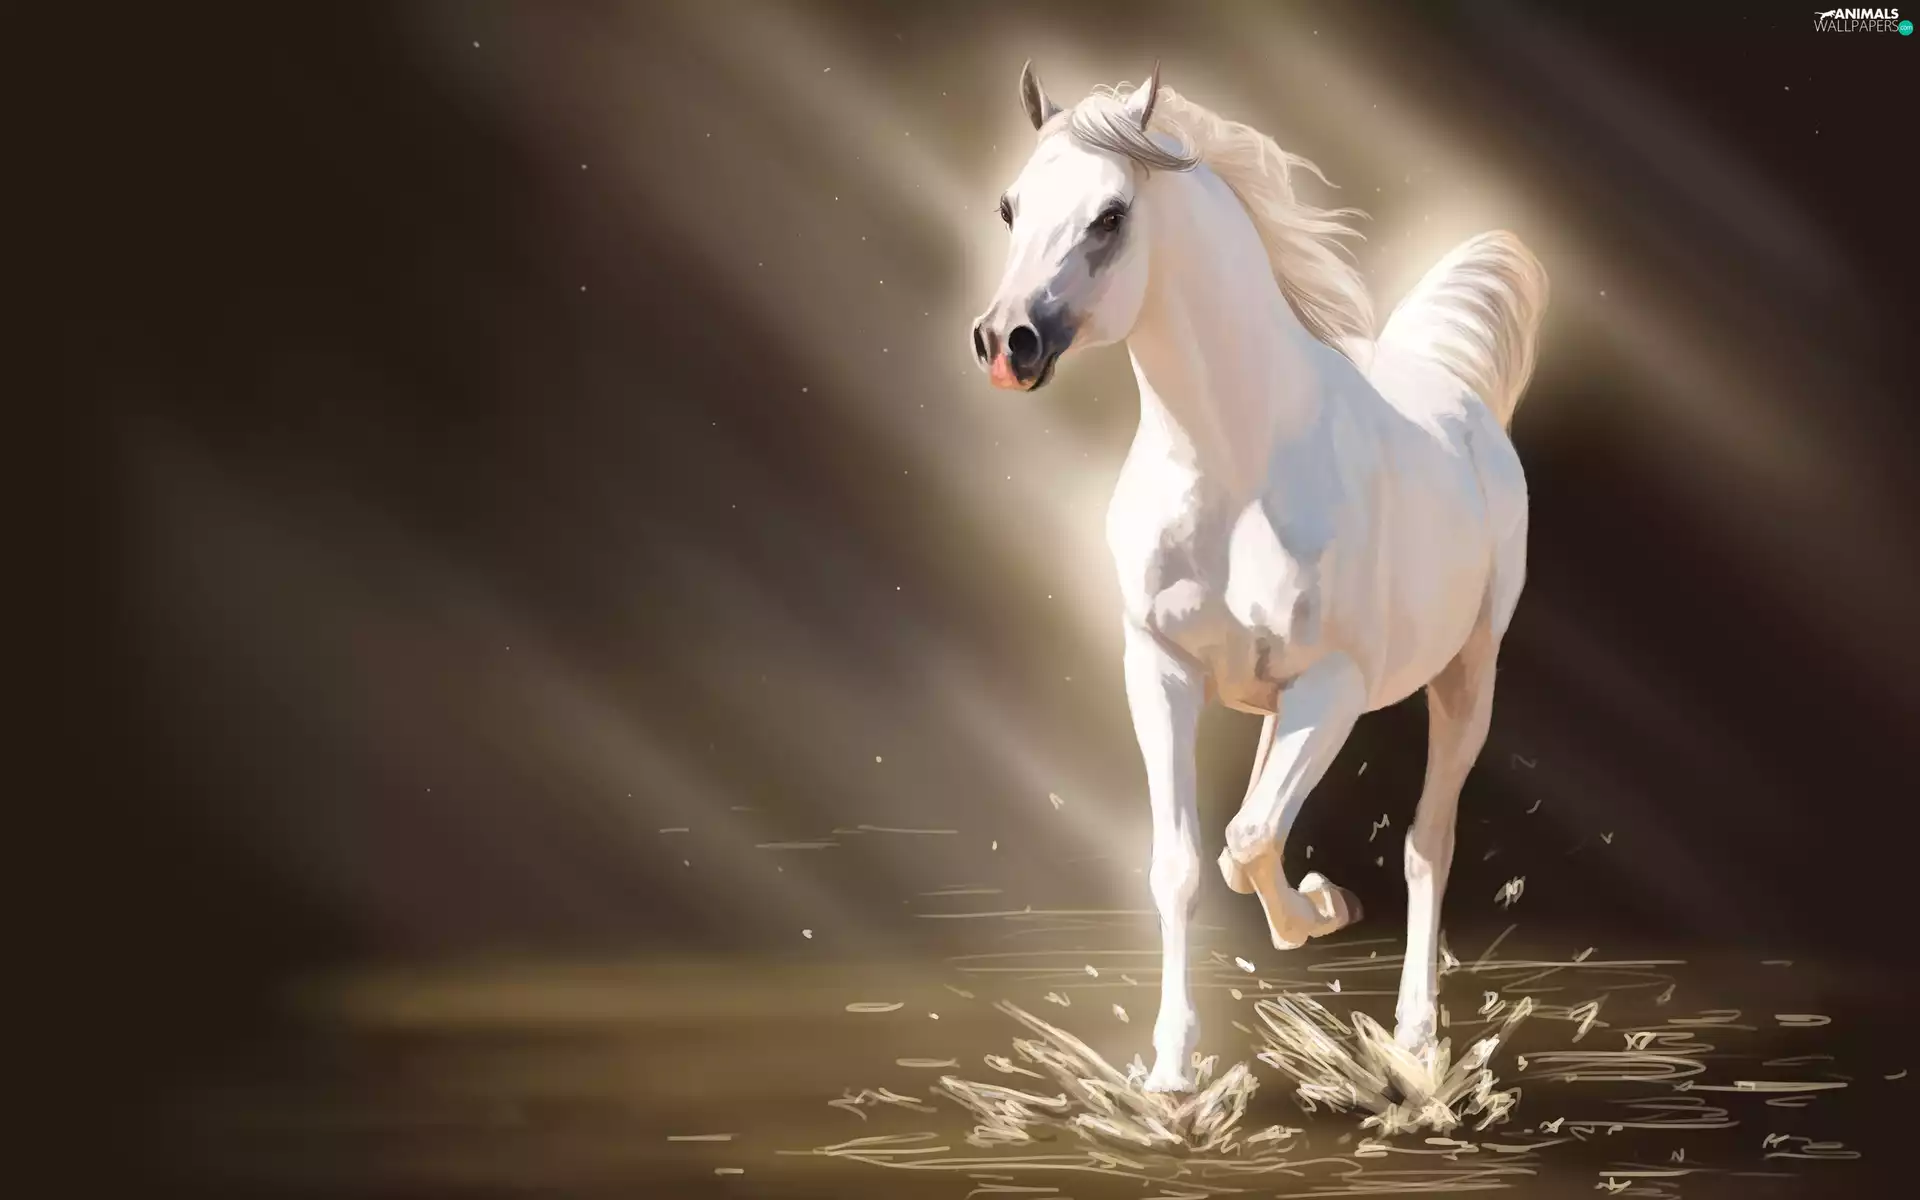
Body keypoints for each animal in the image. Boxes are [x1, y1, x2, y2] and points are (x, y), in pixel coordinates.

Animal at [970, 62, 1547, 1094]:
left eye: (1111, 216)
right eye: (1009, 206)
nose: (1006, 342)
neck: (1237, 466)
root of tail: (1462, 398)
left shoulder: (1336, 686)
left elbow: (1247, 838)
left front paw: (1321, 911)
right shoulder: (1158, 670)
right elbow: (1189, 862)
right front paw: (1169, 1070)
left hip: (1466, 677)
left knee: (1428, 845)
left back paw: (1413, 1038)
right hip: (1288, 700)